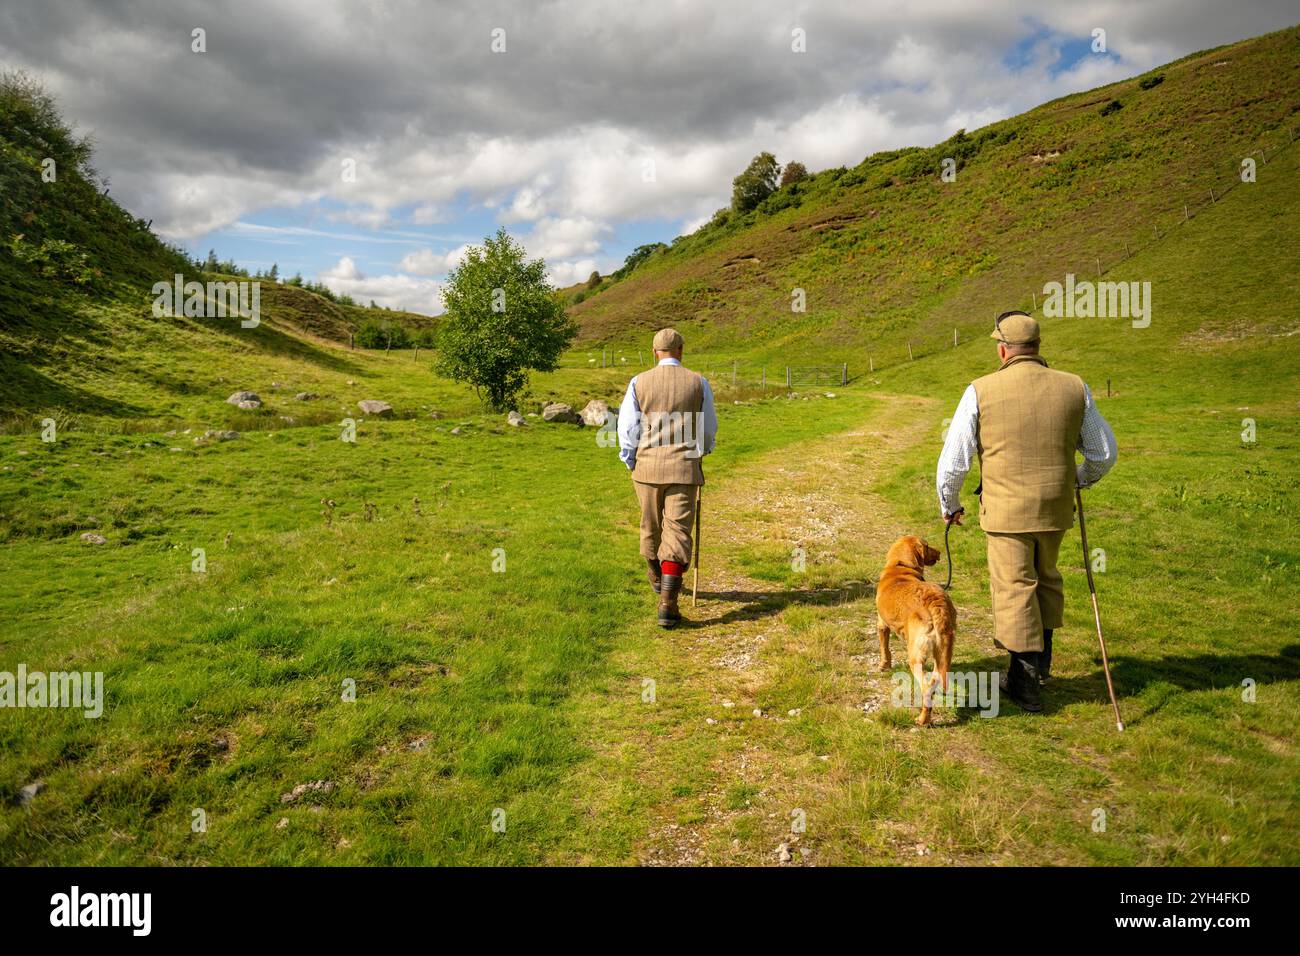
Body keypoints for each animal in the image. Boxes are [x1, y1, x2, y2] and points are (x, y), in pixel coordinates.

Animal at [873, 535, 956, 728]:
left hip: (915, 657)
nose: (939, 552)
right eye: (927, 546)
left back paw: (922, 720)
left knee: (925, 688)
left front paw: (883, 665)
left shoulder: (882, 624)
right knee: (933, 683)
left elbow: (885, 649)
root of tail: (935, 603)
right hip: (942, 656)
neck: (900, 566)